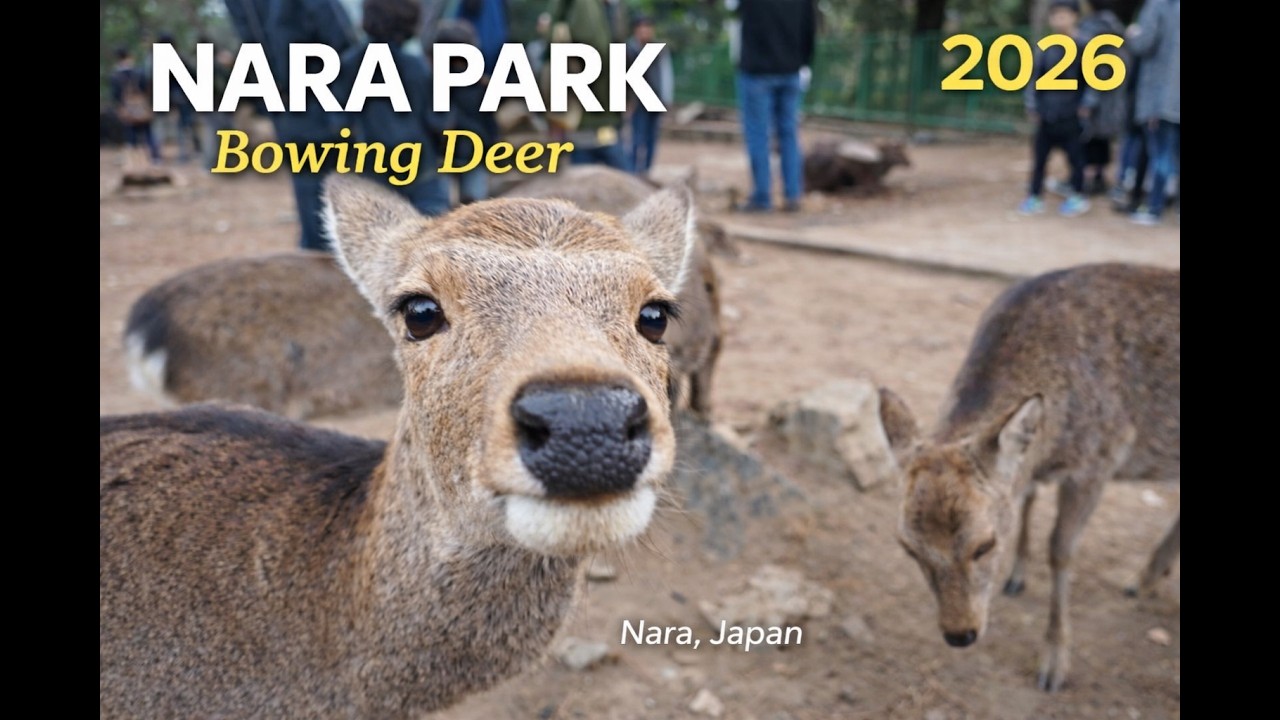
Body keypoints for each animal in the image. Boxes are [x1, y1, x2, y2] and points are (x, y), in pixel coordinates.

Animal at [878, 263, 1179, 692]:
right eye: (909, 549)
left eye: (985, 545)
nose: (959, 633)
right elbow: (1026, 499)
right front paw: (1017, 577)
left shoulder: (1101, 458)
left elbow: (1061, 550)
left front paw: (1053, 663)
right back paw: (1145, 578)